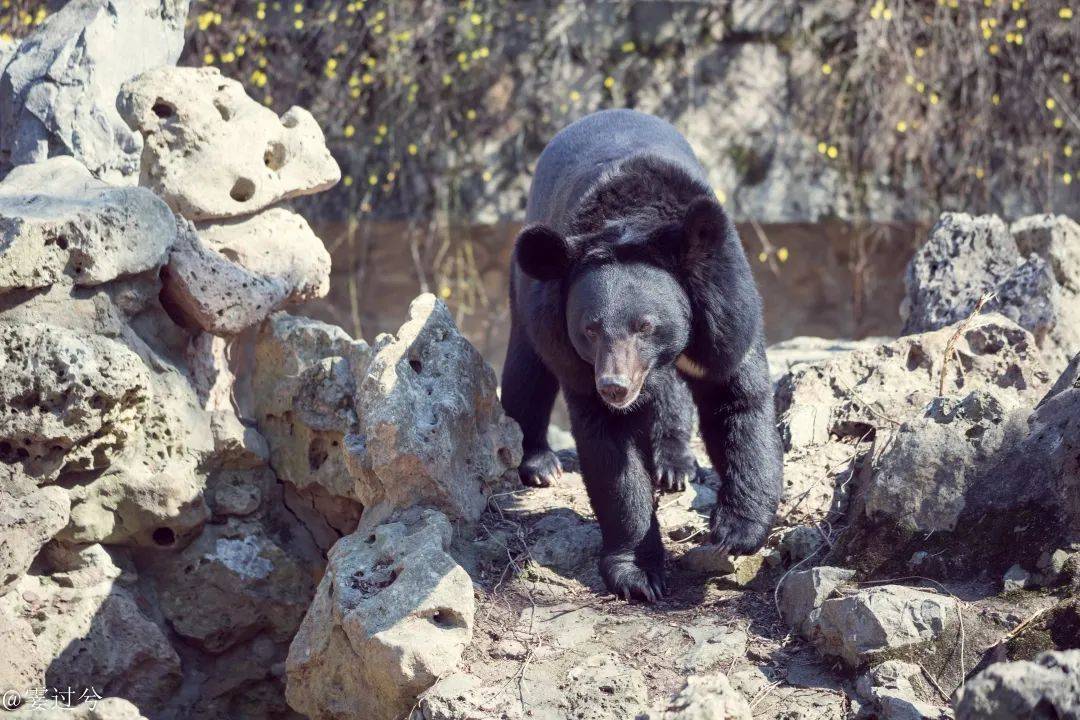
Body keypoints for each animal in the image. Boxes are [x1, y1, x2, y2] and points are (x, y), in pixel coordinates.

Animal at [501, 108, 781, 604]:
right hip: (529, 286)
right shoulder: (571, 349)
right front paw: (638, 575)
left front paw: (735, 530)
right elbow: (611, 451)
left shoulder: (724, 306)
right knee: (527, 371)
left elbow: (737, 400)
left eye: (645, 326)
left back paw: (675, 465)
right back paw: (539, 463)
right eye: (589, 329)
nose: (614, 387)